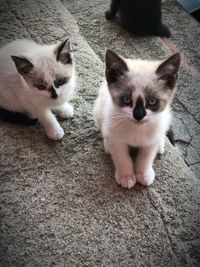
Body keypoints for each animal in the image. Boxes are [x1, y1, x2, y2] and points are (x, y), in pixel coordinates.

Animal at [94, 49, 180, 189]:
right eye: (126, 99)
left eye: (152, 101)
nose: (139, 115)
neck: (136, 129)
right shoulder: (117, 141)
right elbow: (121, 158)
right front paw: (126, 176)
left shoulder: (150, 142)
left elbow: (146, 158)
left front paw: (144, 174)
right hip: (98, 111)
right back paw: (107, 144)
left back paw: (160, 144)